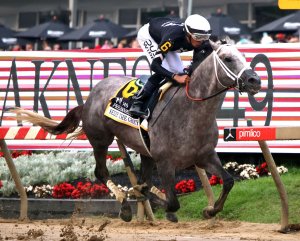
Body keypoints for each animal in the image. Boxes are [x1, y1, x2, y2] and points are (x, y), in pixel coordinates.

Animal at [10, 39, 262, 222]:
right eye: (228, 58)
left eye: (244, 56)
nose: (255, 80)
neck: (191, 111)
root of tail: (90, 96)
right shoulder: (166, 162)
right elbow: (172, 202)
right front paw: (144, 196)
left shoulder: (204, 156)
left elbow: (228, 181)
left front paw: (210, 210)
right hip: (100, 140)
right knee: (101, 172)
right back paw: (125, 204)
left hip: (143, 151)